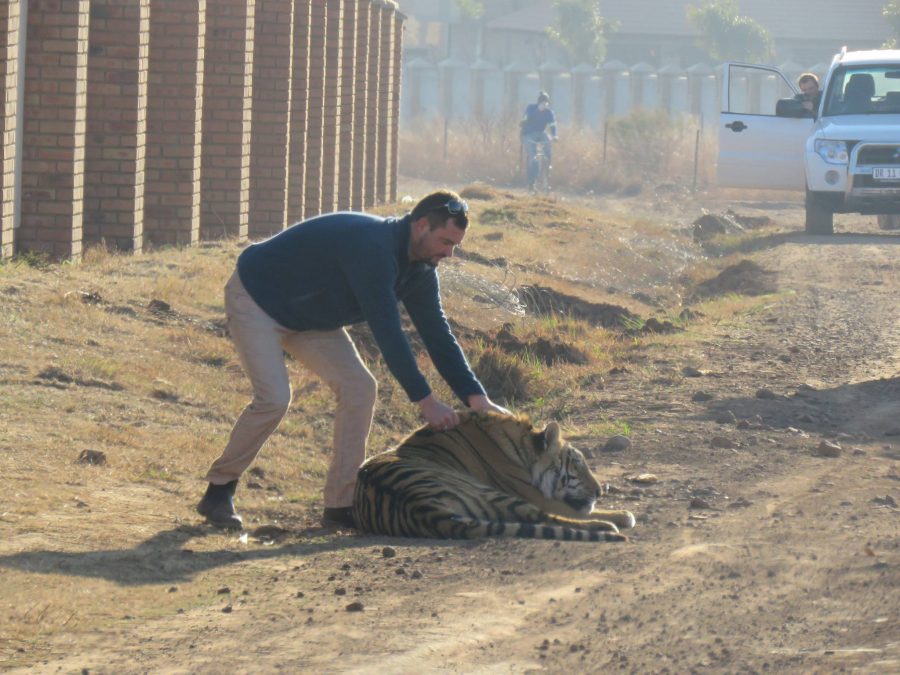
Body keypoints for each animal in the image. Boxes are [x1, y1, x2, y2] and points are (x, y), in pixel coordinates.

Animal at [352, 411, 635, 542]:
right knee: (550, 518)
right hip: (493, 493)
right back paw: (610, 524)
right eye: (576, 465)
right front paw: (620, 513)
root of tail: (424, 509)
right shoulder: (534, 494)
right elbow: (573, 510)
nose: (599, 491)